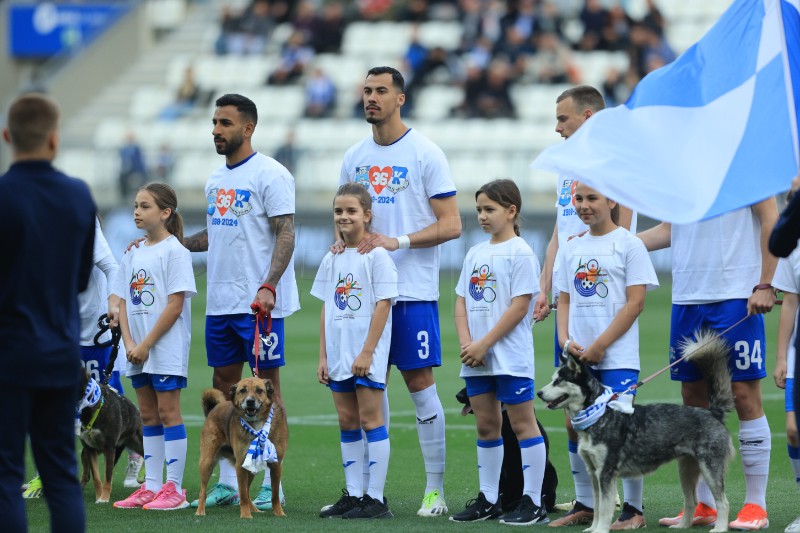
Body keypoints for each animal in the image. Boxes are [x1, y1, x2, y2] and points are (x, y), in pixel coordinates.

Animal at [77, 370, 145, 502]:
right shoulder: (90, 449)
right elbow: (97, 478)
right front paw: (99, 497)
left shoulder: (109, 448)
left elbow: (107, 477)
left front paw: (103, 498)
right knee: (85, 470)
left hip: (139, 443)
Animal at [196, 376, 290, 516]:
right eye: (242, 391)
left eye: (259, 390)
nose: (250, 401)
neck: (257, 425)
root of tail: (214, 409)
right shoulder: (240, 465)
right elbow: (243, 495)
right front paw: (245, 515)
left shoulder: (276, 464)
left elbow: (275, 495)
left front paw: (279, 513)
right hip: (207, 462)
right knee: (203, 490)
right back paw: (200, 511)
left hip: (250, 468)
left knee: (247, 491)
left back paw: (255, 510)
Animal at [540, 330, 736, 528]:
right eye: (552, 380)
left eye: (558, 381)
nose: (539, 393)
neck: (599, 414)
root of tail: (712, 412)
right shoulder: (593, 474)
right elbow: (596, 508)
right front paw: (592, 529)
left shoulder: (605, 474)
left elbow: (603, 510)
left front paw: (600, 530)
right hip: (686, 469)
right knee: (691, 501)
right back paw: (681, 526)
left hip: (710, 469)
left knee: (723, 502)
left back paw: (719, 528)